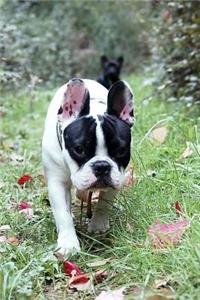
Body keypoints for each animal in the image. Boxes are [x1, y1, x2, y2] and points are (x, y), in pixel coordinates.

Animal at [42, 77, 134, 255]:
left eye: (121, 150)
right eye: (79, 149)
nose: (102, 166)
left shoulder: (118, 178)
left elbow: (104, 203)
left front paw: (98, 225)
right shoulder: (57, 182)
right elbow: (63, 214)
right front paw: (68, 243)